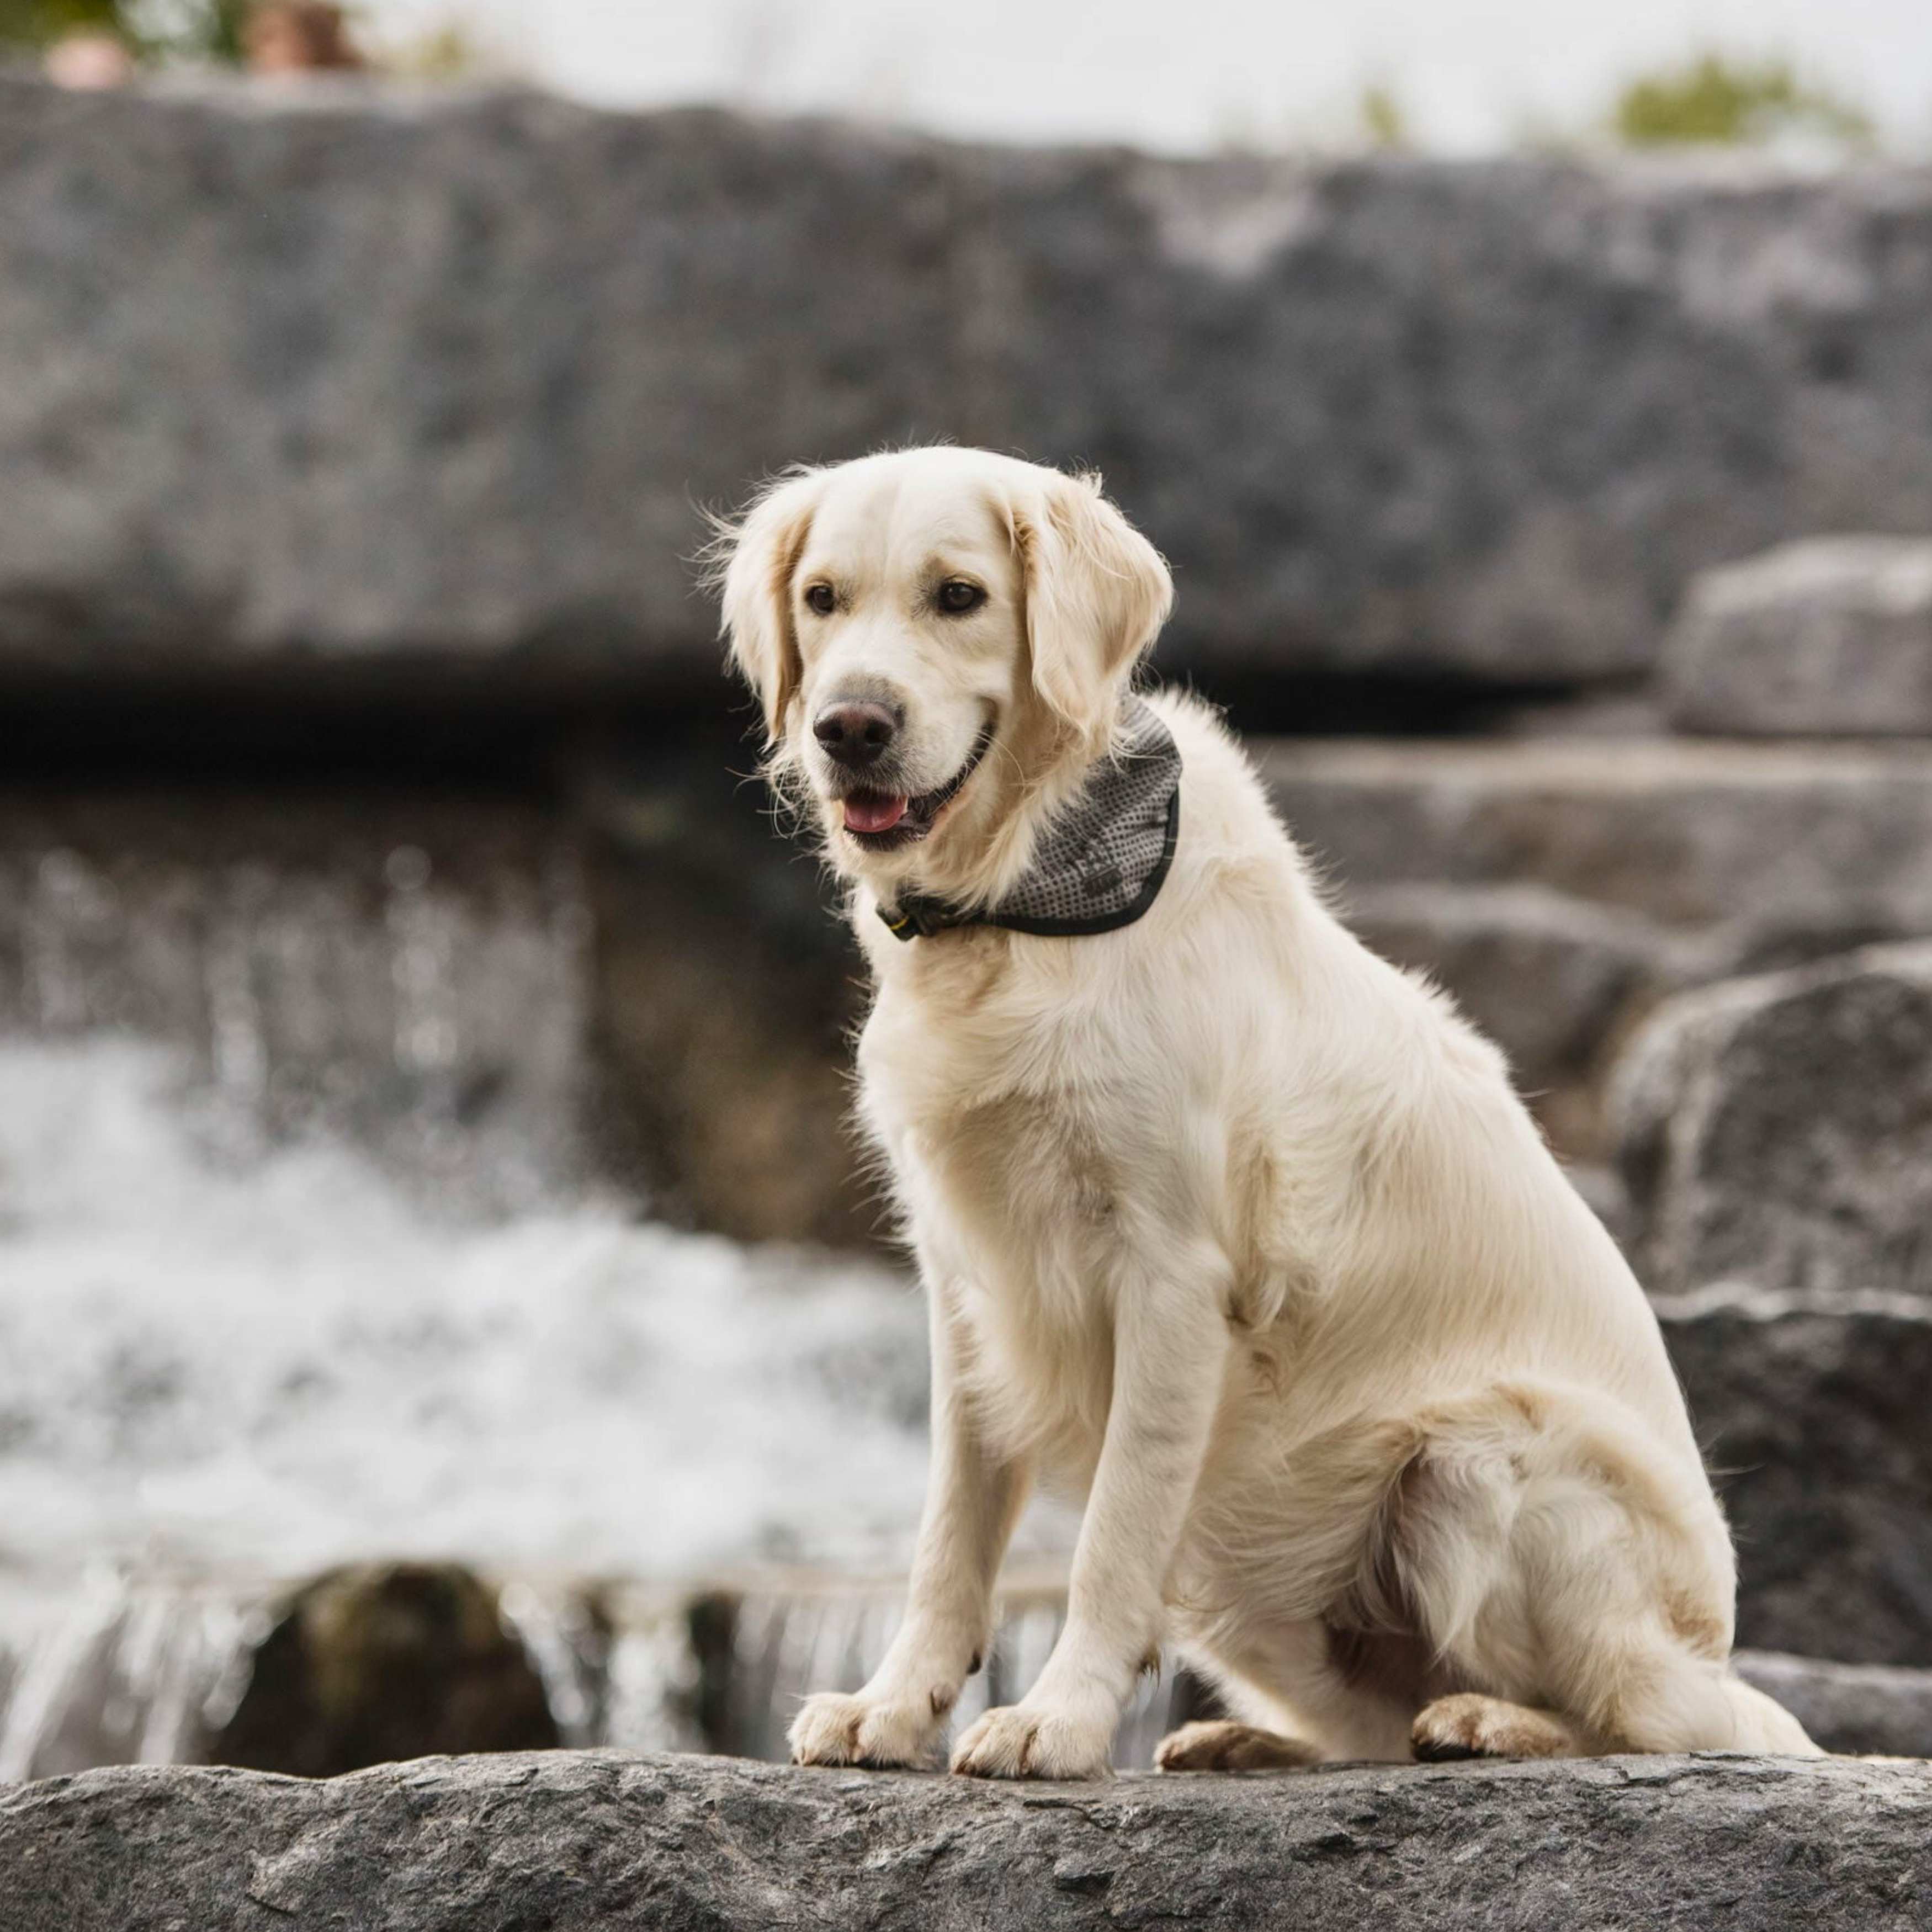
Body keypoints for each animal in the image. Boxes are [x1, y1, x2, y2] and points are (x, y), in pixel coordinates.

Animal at [711, 444, 1808, 1770]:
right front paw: (893, 1704)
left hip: (1474, 1459)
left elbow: (1113, 1534)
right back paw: (1252, 1741)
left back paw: (1490, 1720)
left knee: (1659, 1717)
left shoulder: (1170, 1277)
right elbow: (947, 1536)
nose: (850, 728)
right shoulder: (967, 1280)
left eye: (958, 596)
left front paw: (1057, 1719)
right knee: (1373, 1730)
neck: (1032, 896)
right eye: (822, 600)